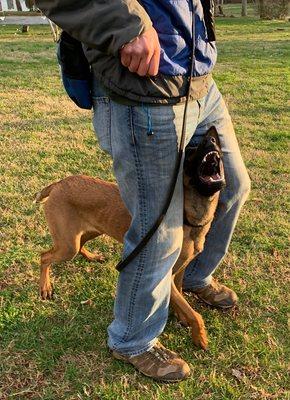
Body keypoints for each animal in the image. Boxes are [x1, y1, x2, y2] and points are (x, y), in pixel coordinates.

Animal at [34, 126, 224, 348]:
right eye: (192, 150)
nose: (212, 138)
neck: (188, 218)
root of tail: (58, 184)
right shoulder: (165, 275)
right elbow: (193, 313)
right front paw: (199, 335)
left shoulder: (179, 271)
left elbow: (181, 300)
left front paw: (182, 319)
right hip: (67, 245)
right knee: (44, 256)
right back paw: (45, 287)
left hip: (87, 233)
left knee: (78, 246)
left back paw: (92, 257)